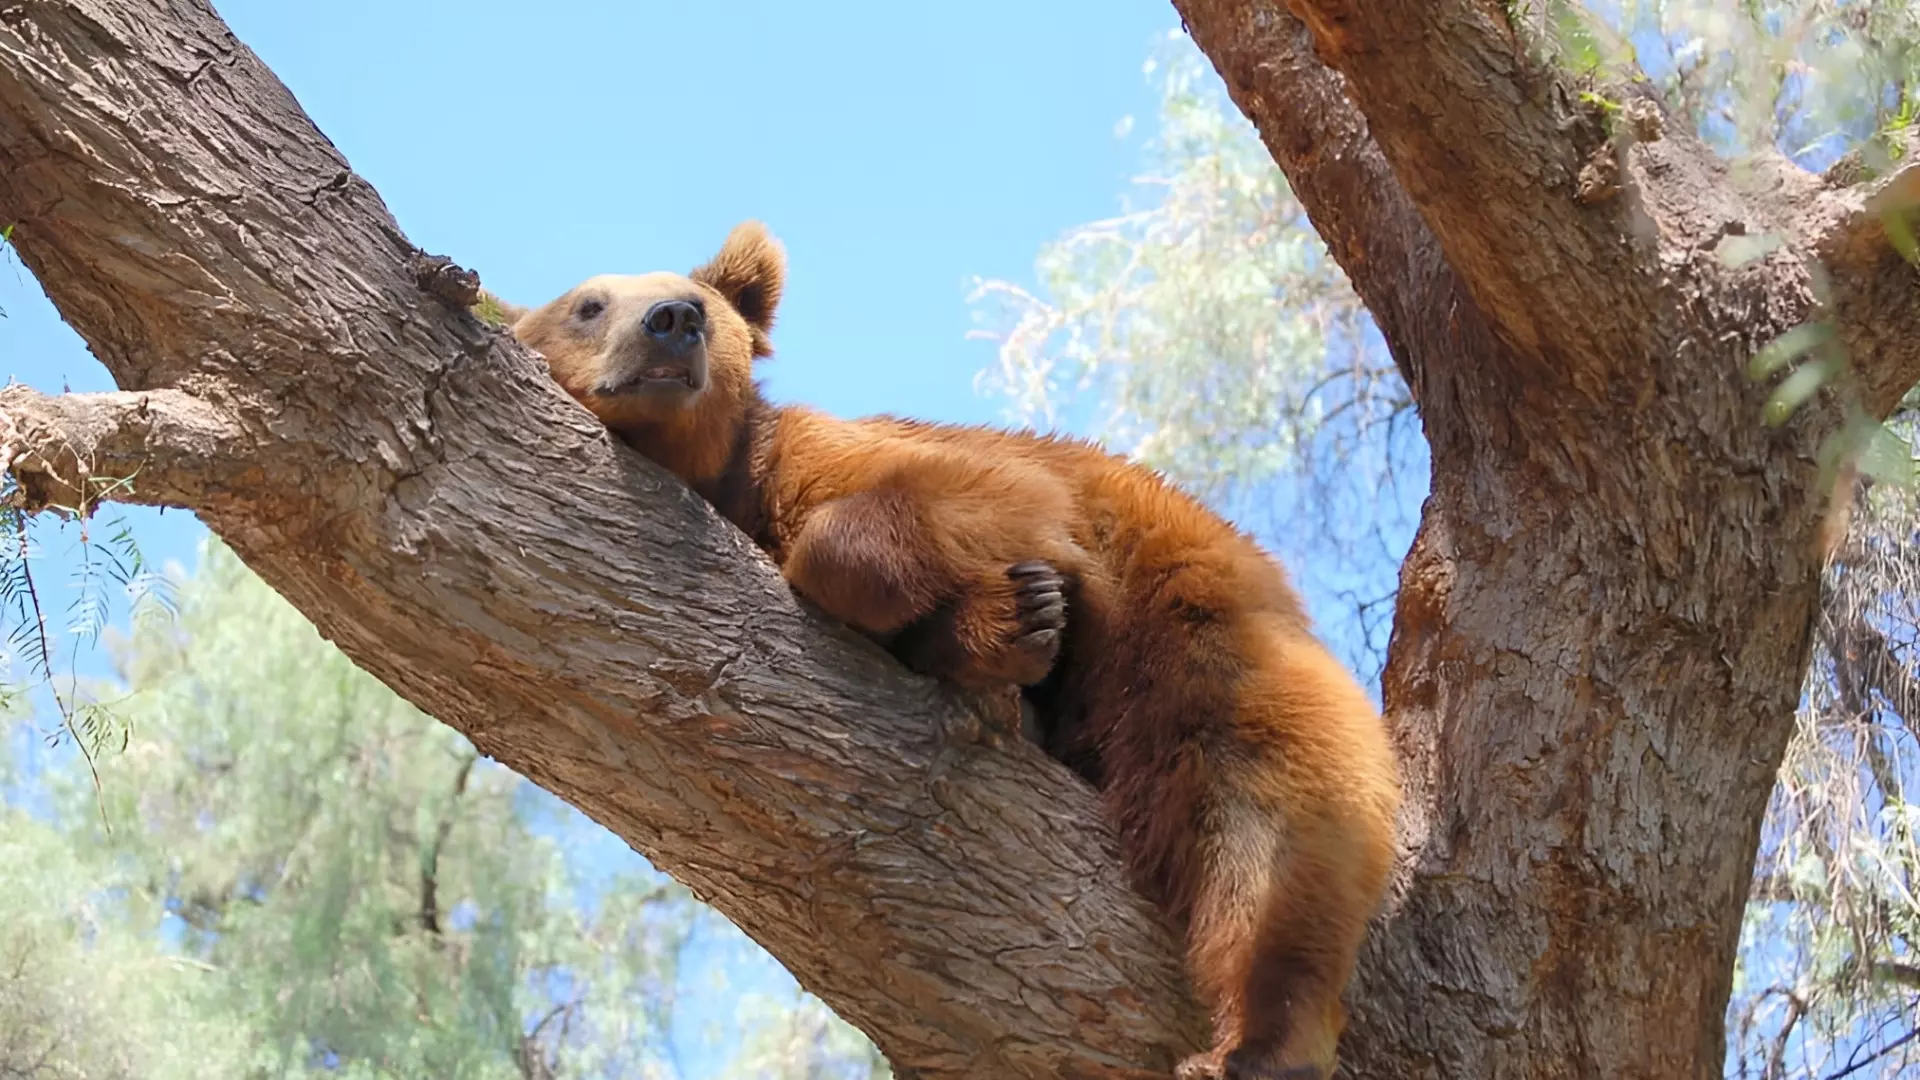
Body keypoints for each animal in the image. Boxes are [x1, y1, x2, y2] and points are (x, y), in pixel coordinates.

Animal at [480, 222, 1405, 1068]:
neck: (718, 482)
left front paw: (988, 616)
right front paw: (992, 634)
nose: (672, 321)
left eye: (698, 298)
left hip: (1195, 630)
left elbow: (945, 502)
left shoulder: (869, 465)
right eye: (588, 303)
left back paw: (1258, 1042)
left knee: (1271, 819)